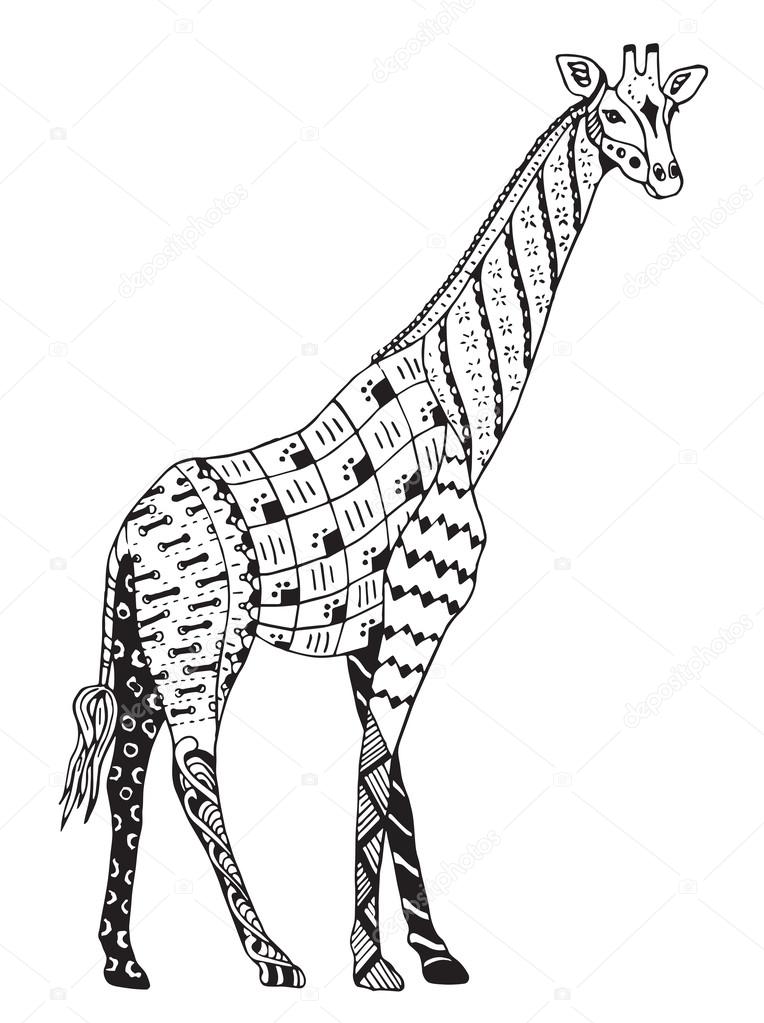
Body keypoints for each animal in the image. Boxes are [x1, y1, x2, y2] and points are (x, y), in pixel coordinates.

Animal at [61, 44, 707, 992]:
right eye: (614, 114)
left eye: (671, 108)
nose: (667, 177)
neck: (463, 403)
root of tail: (124, 540)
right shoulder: (417, 613)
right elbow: (375, 765)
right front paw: (370, 962)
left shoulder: (372, 636)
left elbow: (392, 773)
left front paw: (433, 951)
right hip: (199, 649)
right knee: (193, 773)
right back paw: (271, 955)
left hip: (143, 652)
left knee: (130, 773)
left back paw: (122, 959)